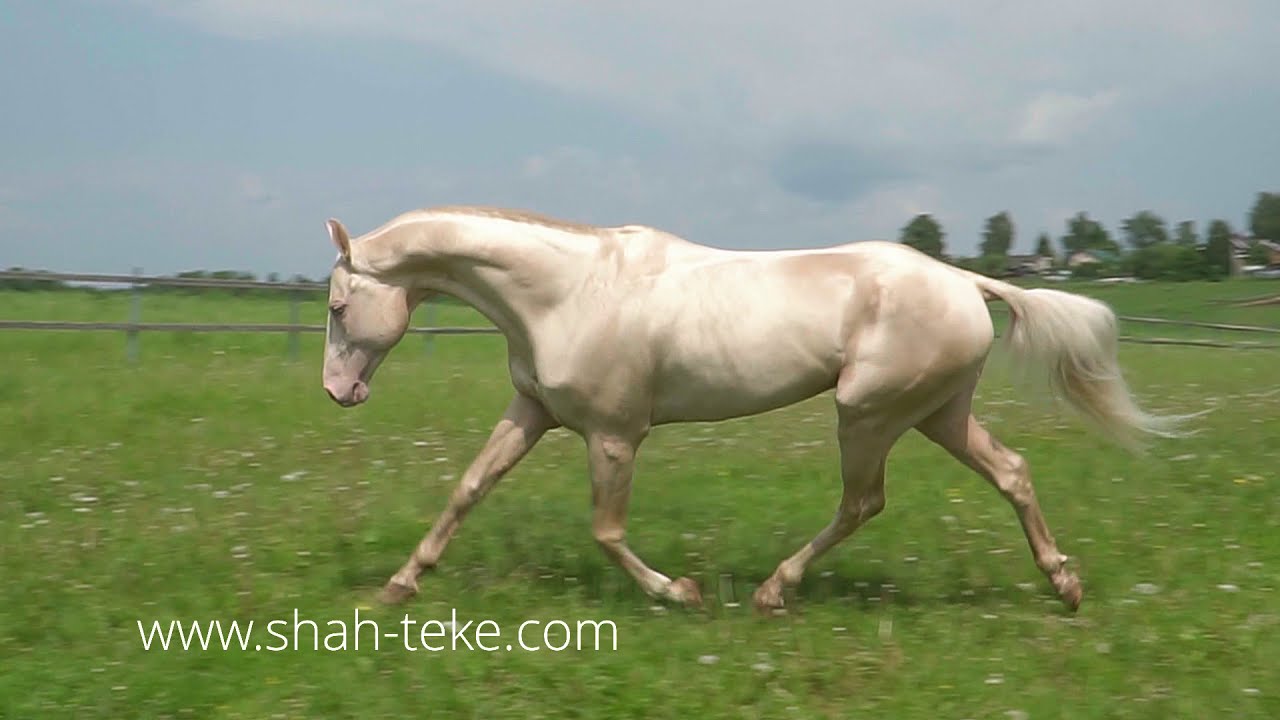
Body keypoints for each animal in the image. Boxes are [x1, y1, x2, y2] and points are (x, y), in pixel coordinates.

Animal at [320, 205, 1185, 612]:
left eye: (335, 305)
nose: (338, 394)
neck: (569, 291)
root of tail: (966, 282)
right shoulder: (534, 411)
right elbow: (469, 488)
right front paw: (398, 587)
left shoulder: (614, 435)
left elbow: (606, 531)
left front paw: (682, 594)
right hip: (937, 414)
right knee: (1011, 470)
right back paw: (1064, 585)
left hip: (869, 415)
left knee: (864, 501)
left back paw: (772, 591)